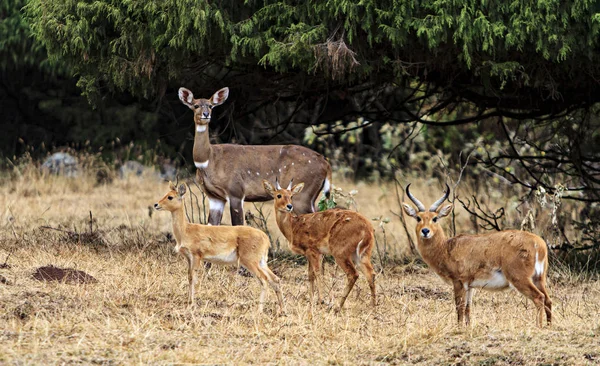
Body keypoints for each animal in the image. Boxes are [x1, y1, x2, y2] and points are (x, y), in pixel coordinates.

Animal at [155, 182, 286, 314]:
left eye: (170, 197)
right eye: (166, 194)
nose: (156, 204)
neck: (186, 230)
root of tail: (266, 238)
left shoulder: (197, 256)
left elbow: (194, 278)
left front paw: (191, 304)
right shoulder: (189, 258)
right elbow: (189, 278)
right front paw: (189, 302)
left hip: (250, 262)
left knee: (264, 280)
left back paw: (259, 310)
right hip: (262, 262)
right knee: (275, 279)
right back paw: (281, 310)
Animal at [177, 87, 332, 227]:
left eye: (210, 105)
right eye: (196, 105)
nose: (205, 114)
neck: (208, 160)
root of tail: (325, 163)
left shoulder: (236, 192)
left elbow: (238, 226)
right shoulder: (215, 197)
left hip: (301, 195)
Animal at [262, 179, 376, 310]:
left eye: (291, 196)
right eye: (279, 195)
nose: (289, 206)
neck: (292, 227)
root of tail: (368, 227)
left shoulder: (313, 251)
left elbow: (318, 274)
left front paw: (321, 300)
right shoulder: (311, 254)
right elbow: (310, 275)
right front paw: (311, 301)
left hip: (340, 253)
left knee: (353, 274)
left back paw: (338, 306)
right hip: (361, 254)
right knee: (371, 274)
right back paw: (373, 306)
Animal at [400, 184, 552, 328]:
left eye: (435, 218)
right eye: (418, 218)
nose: (425, 231)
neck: (446, 248)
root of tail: (539, 243)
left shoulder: (458, 282)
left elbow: (459, 308)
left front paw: (459, 328)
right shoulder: (470, 286)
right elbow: (468, 308)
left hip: (520, 279)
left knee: (539, 298)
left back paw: (538, 326)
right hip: (539, 278)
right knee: (548, 300)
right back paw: (549, 326)